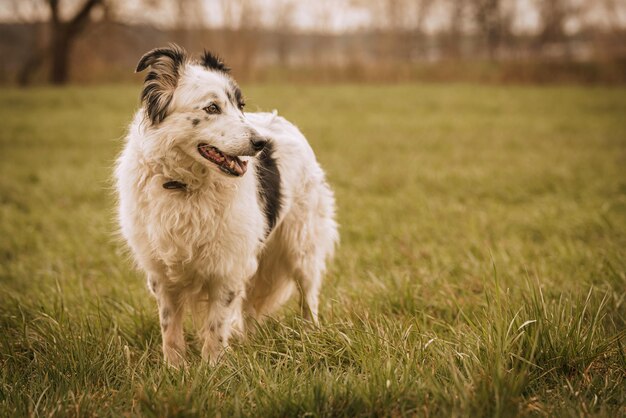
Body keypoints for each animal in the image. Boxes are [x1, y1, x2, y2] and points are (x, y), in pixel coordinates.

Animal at [112, 45, 336, 366]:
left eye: (240, 106)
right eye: (211, 108)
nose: (261, 143)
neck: (185, 185)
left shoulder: (227, 266)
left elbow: (216, 327)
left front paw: (212, 368)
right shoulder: (161, 272)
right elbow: (170, 329)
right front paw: (174, 369)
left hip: (301, 243)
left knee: (309, 295)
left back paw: (310, 334)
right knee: (250, 310)